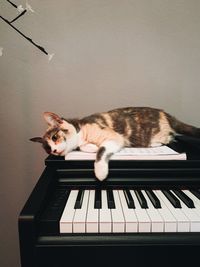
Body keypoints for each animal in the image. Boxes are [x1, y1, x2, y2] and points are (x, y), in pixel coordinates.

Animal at [30, 108, 200, 181]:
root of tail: (169, 116)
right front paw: (91, 147)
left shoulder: (115, 138)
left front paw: (100, 172)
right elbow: (89, 147)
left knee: (170, 138)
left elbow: (102, 150)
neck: (81, 132)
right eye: (47, 149)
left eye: (54, 137)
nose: (54, 150)